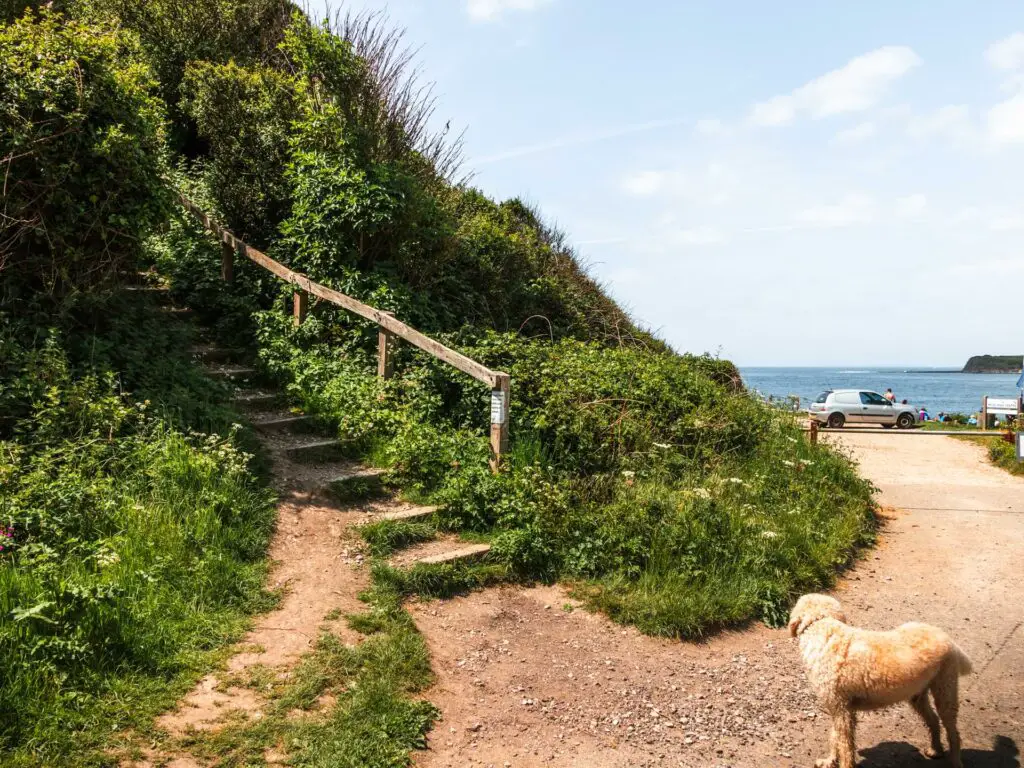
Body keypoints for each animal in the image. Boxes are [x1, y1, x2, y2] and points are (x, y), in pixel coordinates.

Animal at [786, 593, 970, 768]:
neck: (822, 627)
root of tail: (949, 640)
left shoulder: (841, 710)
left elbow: (844, 746)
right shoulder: (840, 708)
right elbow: (835, 738)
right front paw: (829, 760)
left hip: (945, 691)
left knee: (954, 733)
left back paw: (956, 761)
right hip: (918, 696)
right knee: (934, 720)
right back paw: (935, 750)